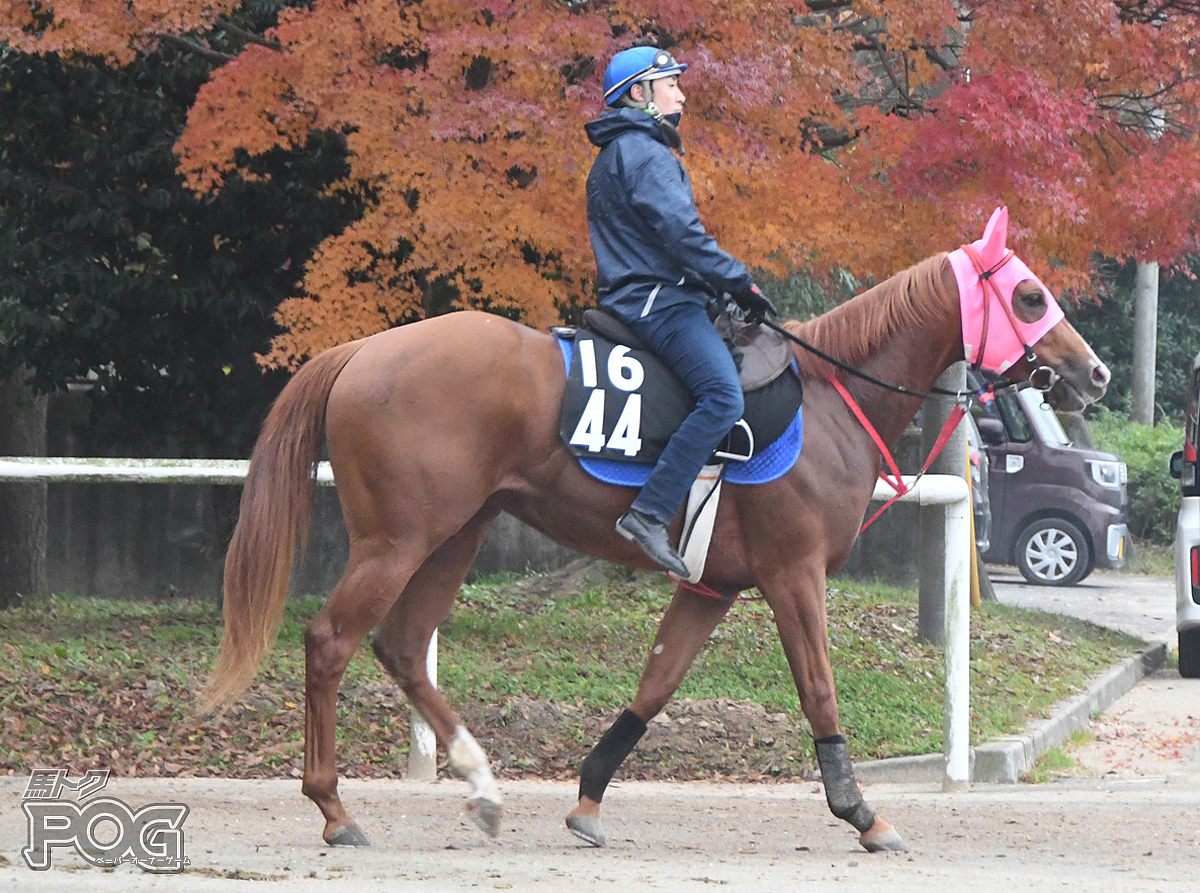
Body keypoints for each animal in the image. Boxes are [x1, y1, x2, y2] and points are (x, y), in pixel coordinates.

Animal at [201, 205, 1108, 854]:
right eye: (1030, 295)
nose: (1093, 371)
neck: (828, 398)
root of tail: (362, 350)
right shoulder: (793, 574)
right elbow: (818, 687)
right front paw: (861, 811)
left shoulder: (710, 586)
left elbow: (654, 685)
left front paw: (587, 798)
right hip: (397, 540)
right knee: (330, 640)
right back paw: (333, 805)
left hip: (455, 532)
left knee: (400, 645)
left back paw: (481, 783)